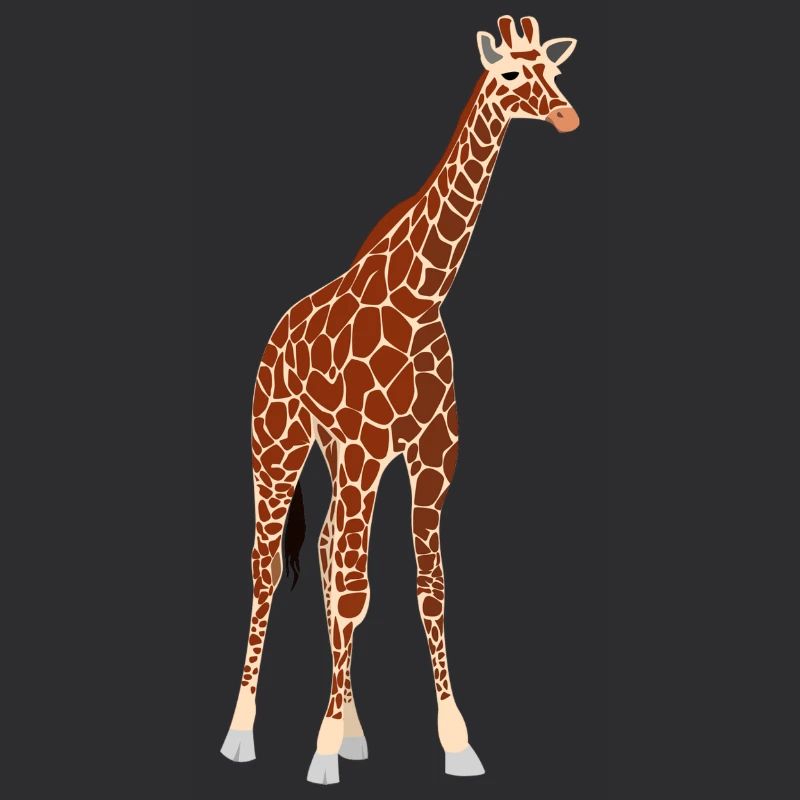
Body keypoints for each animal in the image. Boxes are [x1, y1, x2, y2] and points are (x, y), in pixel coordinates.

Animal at [220, 15, 580, 785]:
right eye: (510, 74)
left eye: (557, 72)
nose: (566, 115)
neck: (421, 298)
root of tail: (274, 338)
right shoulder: (364, 448)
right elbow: (356, 592)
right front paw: (321, 751)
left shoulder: (431, 457)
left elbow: (428, 591)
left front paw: (455, 742)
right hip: (279, 444)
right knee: (270, 568)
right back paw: (242, 731)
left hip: (340, 456)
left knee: (328, 548)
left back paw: (354, 729)